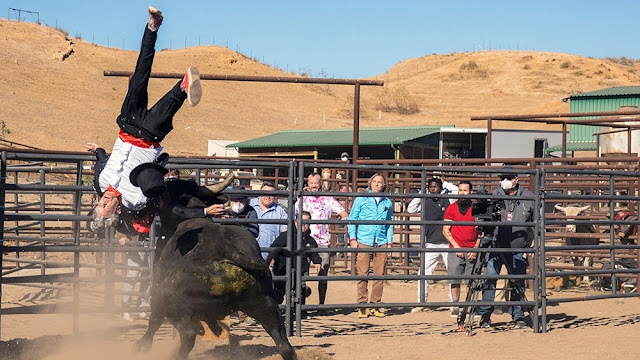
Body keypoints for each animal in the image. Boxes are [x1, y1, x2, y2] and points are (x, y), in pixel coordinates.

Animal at [138, 217, 298, 360]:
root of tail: (228, 251)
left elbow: (155, 320)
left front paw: (142, 345)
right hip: (265, 305)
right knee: (282, 342)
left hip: (174, 308)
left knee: (188, 333)